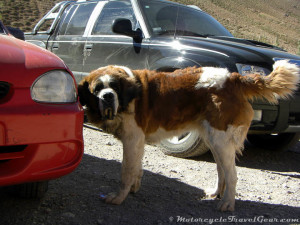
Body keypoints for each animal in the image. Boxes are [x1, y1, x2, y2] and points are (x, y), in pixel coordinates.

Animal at [78, 60, 298, 211]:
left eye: (114, 87)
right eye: (97, 89)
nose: (108, 97)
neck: (128, 96)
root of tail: (235, 78)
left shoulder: (132, 139)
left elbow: (126, 170)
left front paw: (118, 197)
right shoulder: (137, 142)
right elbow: (137, 168)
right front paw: (134, 188)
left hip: (220, 138)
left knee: (232, 174)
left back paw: (227, 204)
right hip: (214, 139)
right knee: (221, 169)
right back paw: (217, 193)